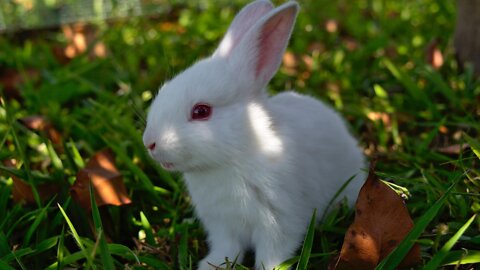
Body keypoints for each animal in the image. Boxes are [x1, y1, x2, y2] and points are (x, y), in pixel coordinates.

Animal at [143, 1, 368, 268]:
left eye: (201, 111)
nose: (149, 142)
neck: (236, 156)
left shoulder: (278, 221)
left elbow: (272, 252)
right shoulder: (222, 225)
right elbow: (227, 249)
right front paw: (212, 264)